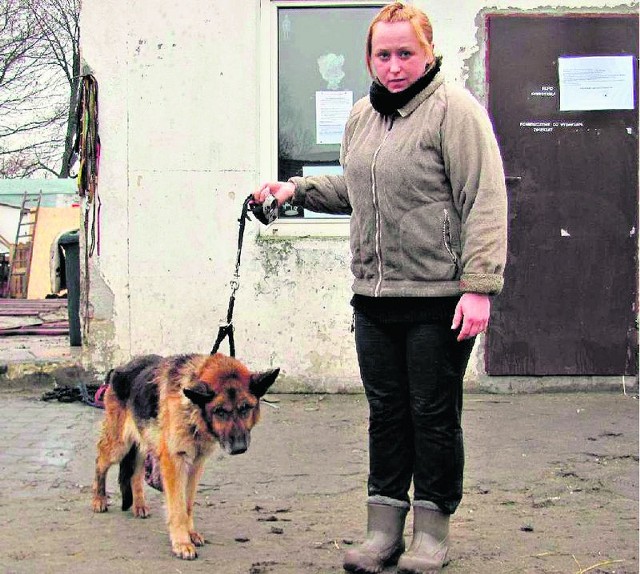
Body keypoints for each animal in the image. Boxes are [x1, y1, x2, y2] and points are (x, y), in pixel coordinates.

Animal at [91, 354, 278, 560]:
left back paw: (139, 504)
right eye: (219, 411)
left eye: (245, 408)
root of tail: (120, 368)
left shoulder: (195, 465)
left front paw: (190, 533)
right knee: (100, 461)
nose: (239, 448)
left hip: (142, 442)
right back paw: (99, 499)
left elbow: (187, 505)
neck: (192, 410)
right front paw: (181, 542)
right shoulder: (175, 463)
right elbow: (178, 508)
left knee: (135, 474)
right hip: (118, 446)